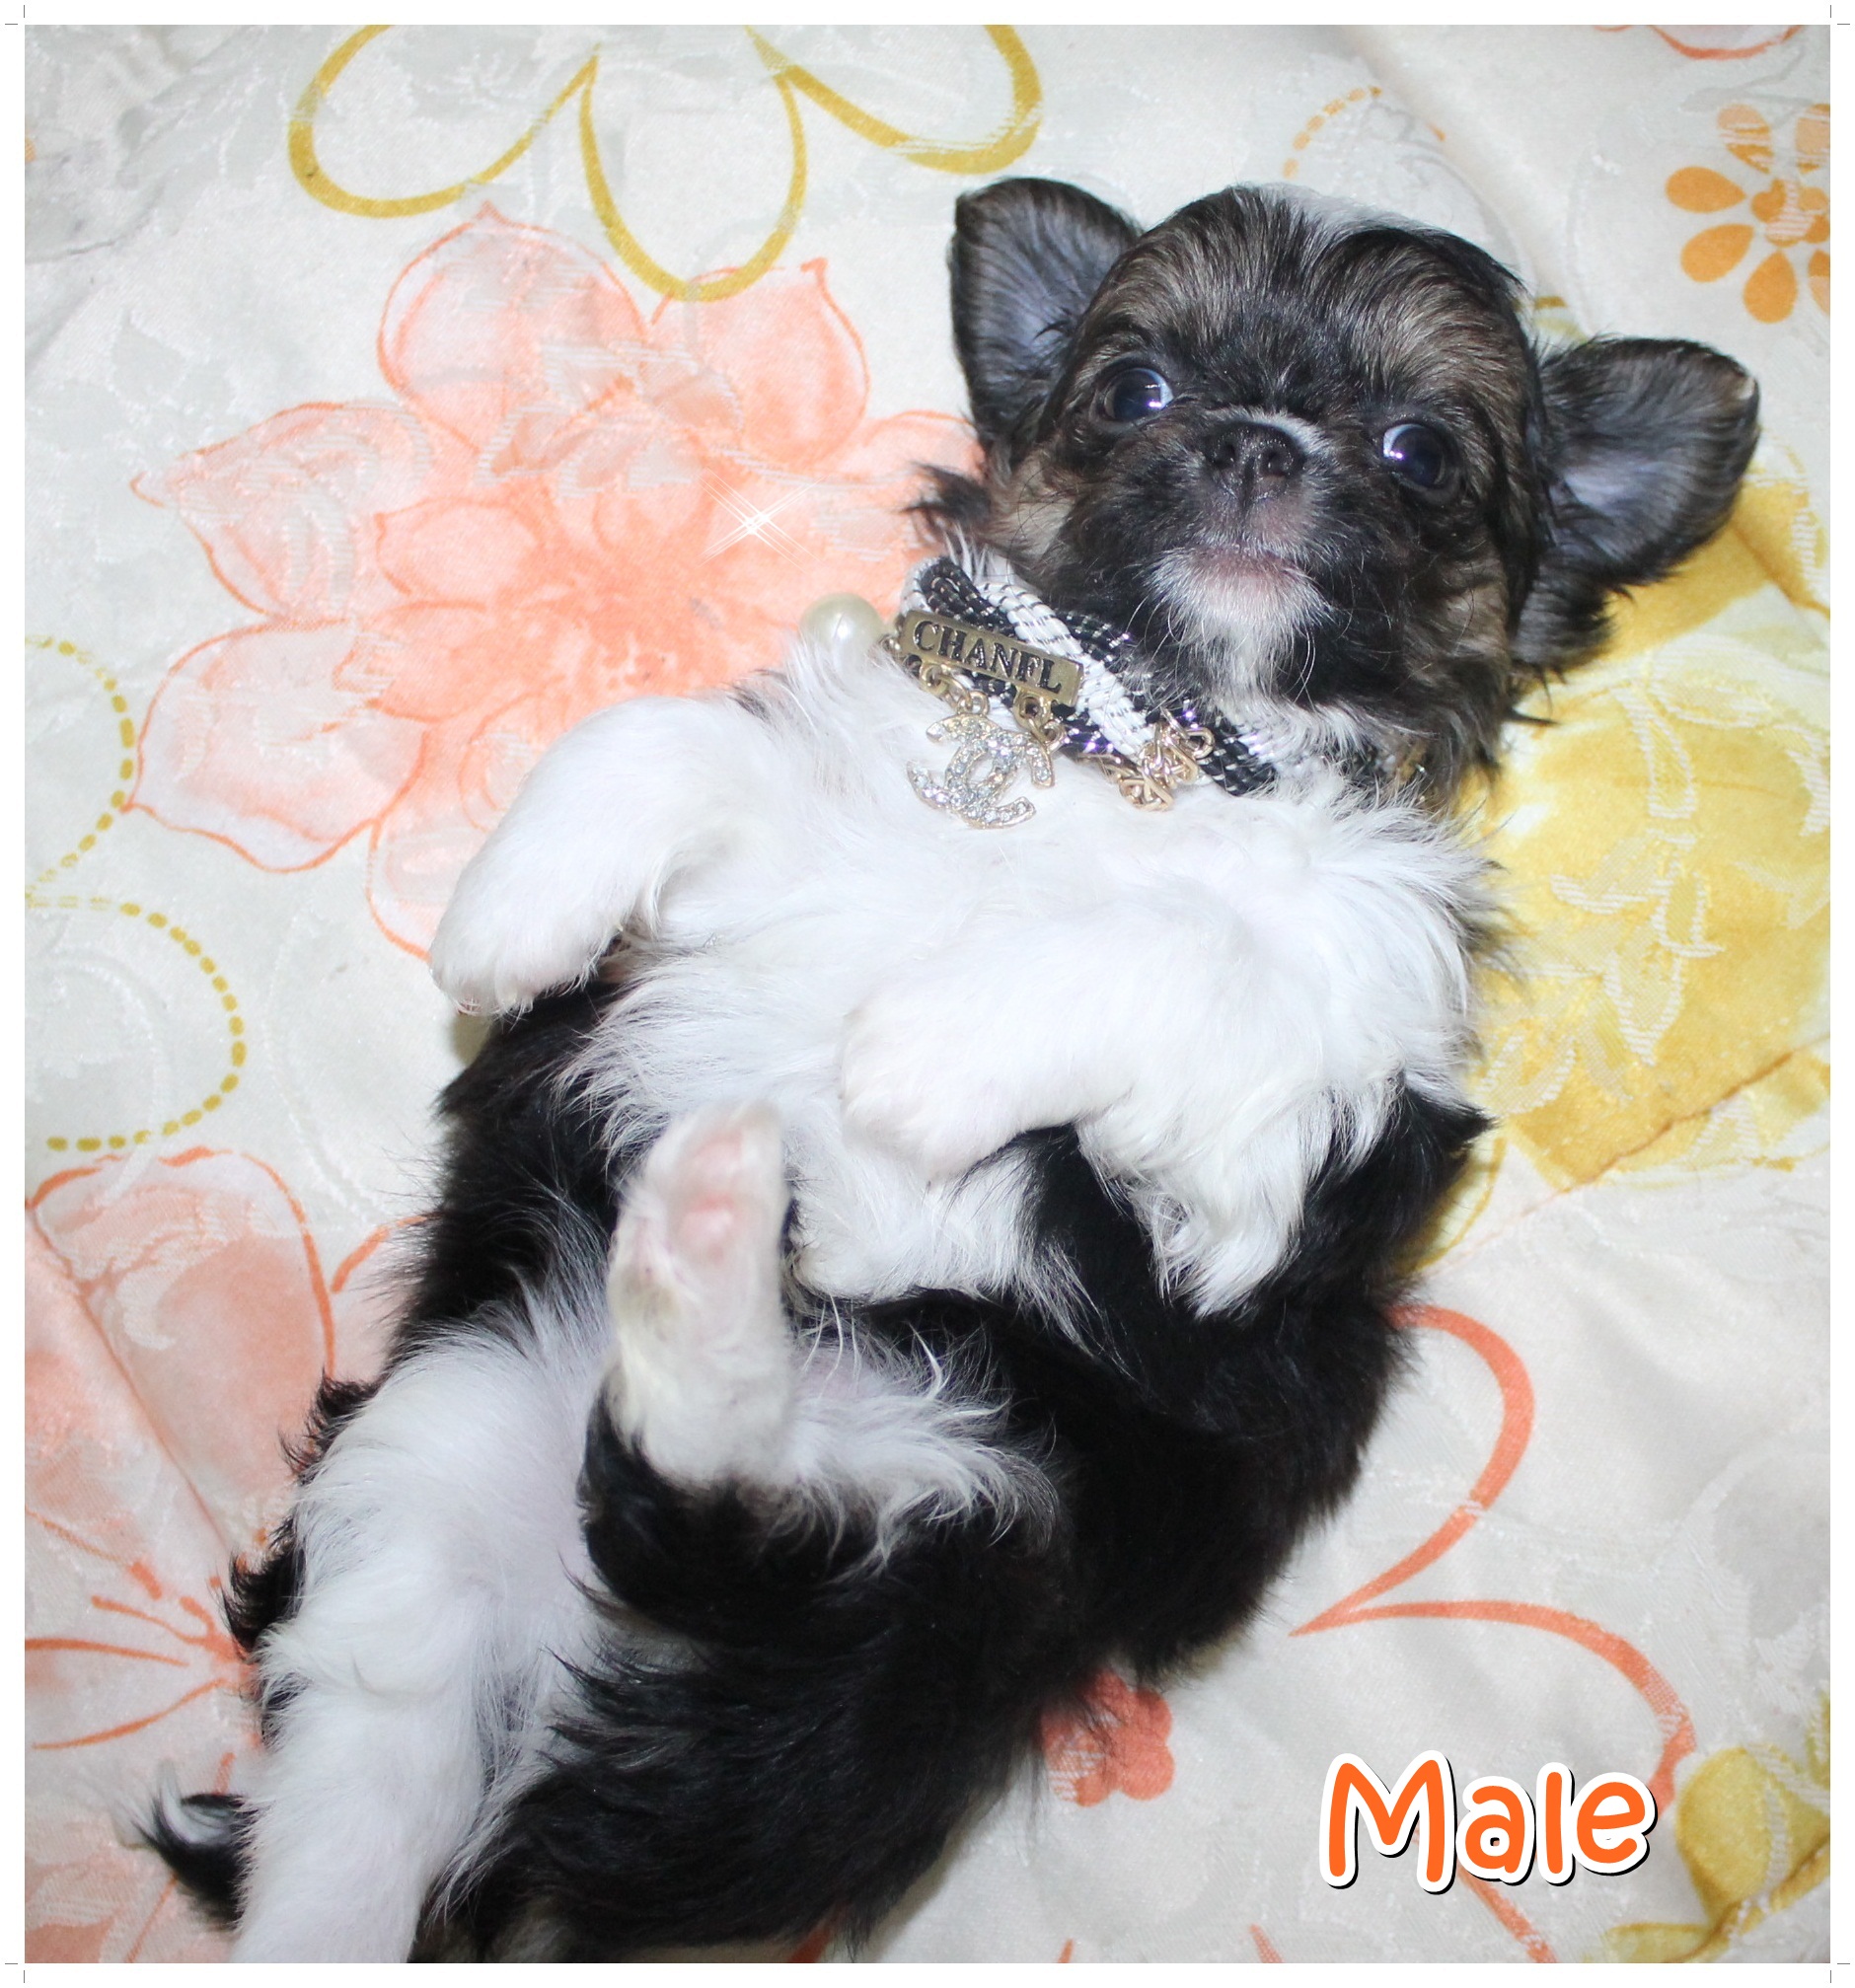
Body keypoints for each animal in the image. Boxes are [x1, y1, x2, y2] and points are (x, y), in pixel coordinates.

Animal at [146, 178, 1757, 1960]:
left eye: (1416, 450)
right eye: (1133, 392)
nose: (1253, 444)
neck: (1143, 739)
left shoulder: (1292, 1124)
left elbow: (1181, 949)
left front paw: (915, 1058)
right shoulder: (807, 828)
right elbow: (669, 738)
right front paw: (513, 915)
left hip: (981, 1510)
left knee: (722, 1491)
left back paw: (712, 1240)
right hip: (442, 1453)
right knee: (378, 1789)